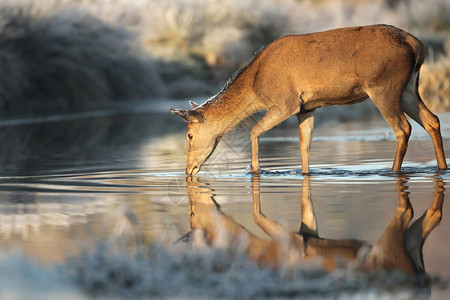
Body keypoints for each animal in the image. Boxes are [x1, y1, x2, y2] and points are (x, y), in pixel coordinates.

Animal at [170, 24, 446, 175]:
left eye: (189, 135)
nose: (188, 170)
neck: (255, 86)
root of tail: (417, 43)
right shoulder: (307, 108)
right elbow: (305, 145)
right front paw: (305, 173)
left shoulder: (286, 102)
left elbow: (255, 130)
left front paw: (255, 171)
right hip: (408, 88)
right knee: (432, 120)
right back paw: (442, 167)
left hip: (383, 87)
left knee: (403, 128)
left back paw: (393, 171)